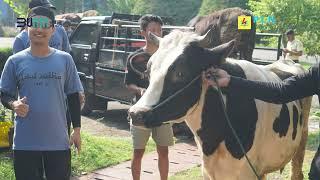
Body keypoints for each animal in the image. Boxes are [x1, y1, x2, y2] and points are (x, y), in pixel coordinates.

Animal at [128, 29, 312, 180]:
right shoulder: (209, 171)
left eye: (181, 73)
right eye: (148, 70)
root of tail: (288, 62)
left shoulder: (246, 172)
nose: (136, 113)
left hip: (302, 138)